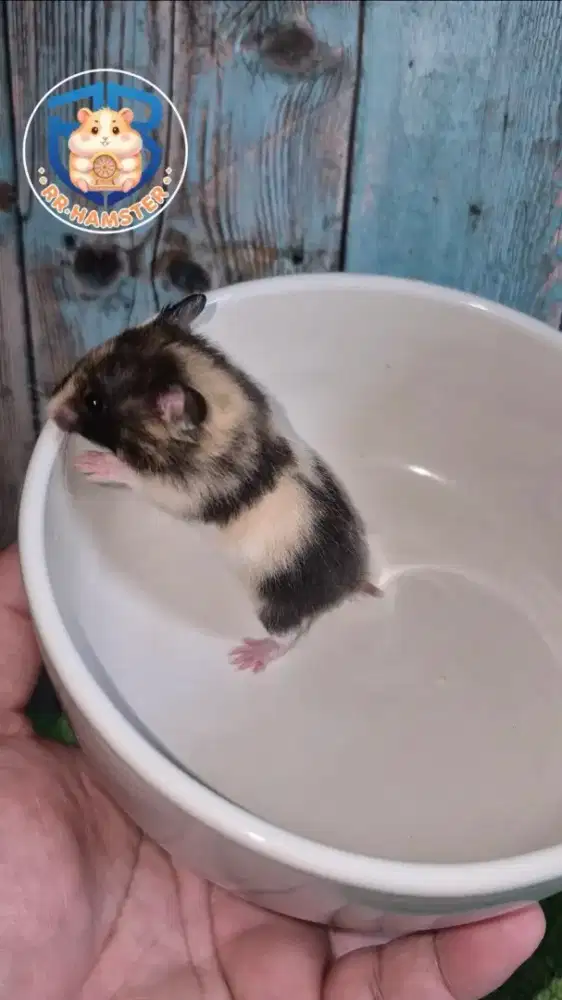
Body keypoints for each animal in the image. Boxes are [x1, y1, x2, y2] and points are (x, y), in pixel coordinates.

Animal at [48, 293, 381, 673]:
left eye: (94, 402)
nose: (48, 409)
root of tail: (349, 582)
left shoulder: (182, 491)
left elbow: (138, 477)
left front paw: (90, 464)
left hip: (274, 602)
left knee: (291, 633)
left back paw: (249, 656)